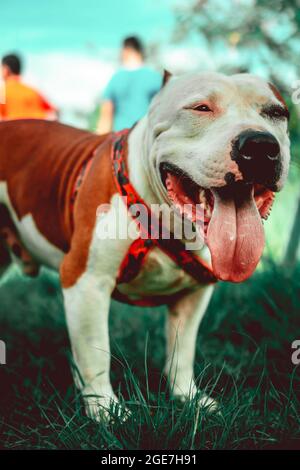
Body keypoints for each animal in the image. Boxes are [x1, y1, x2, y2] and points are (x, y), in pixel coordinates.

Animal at [0, 71, 290, 420]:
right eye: (201, 108)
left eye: (277, 113)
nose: (260, 145)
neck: (169, 221)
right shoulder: (86, 282)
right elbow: (95, 351)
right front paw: (105, 410)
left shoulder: (194, 294)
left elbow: (182, 350)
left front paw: (188, 398)